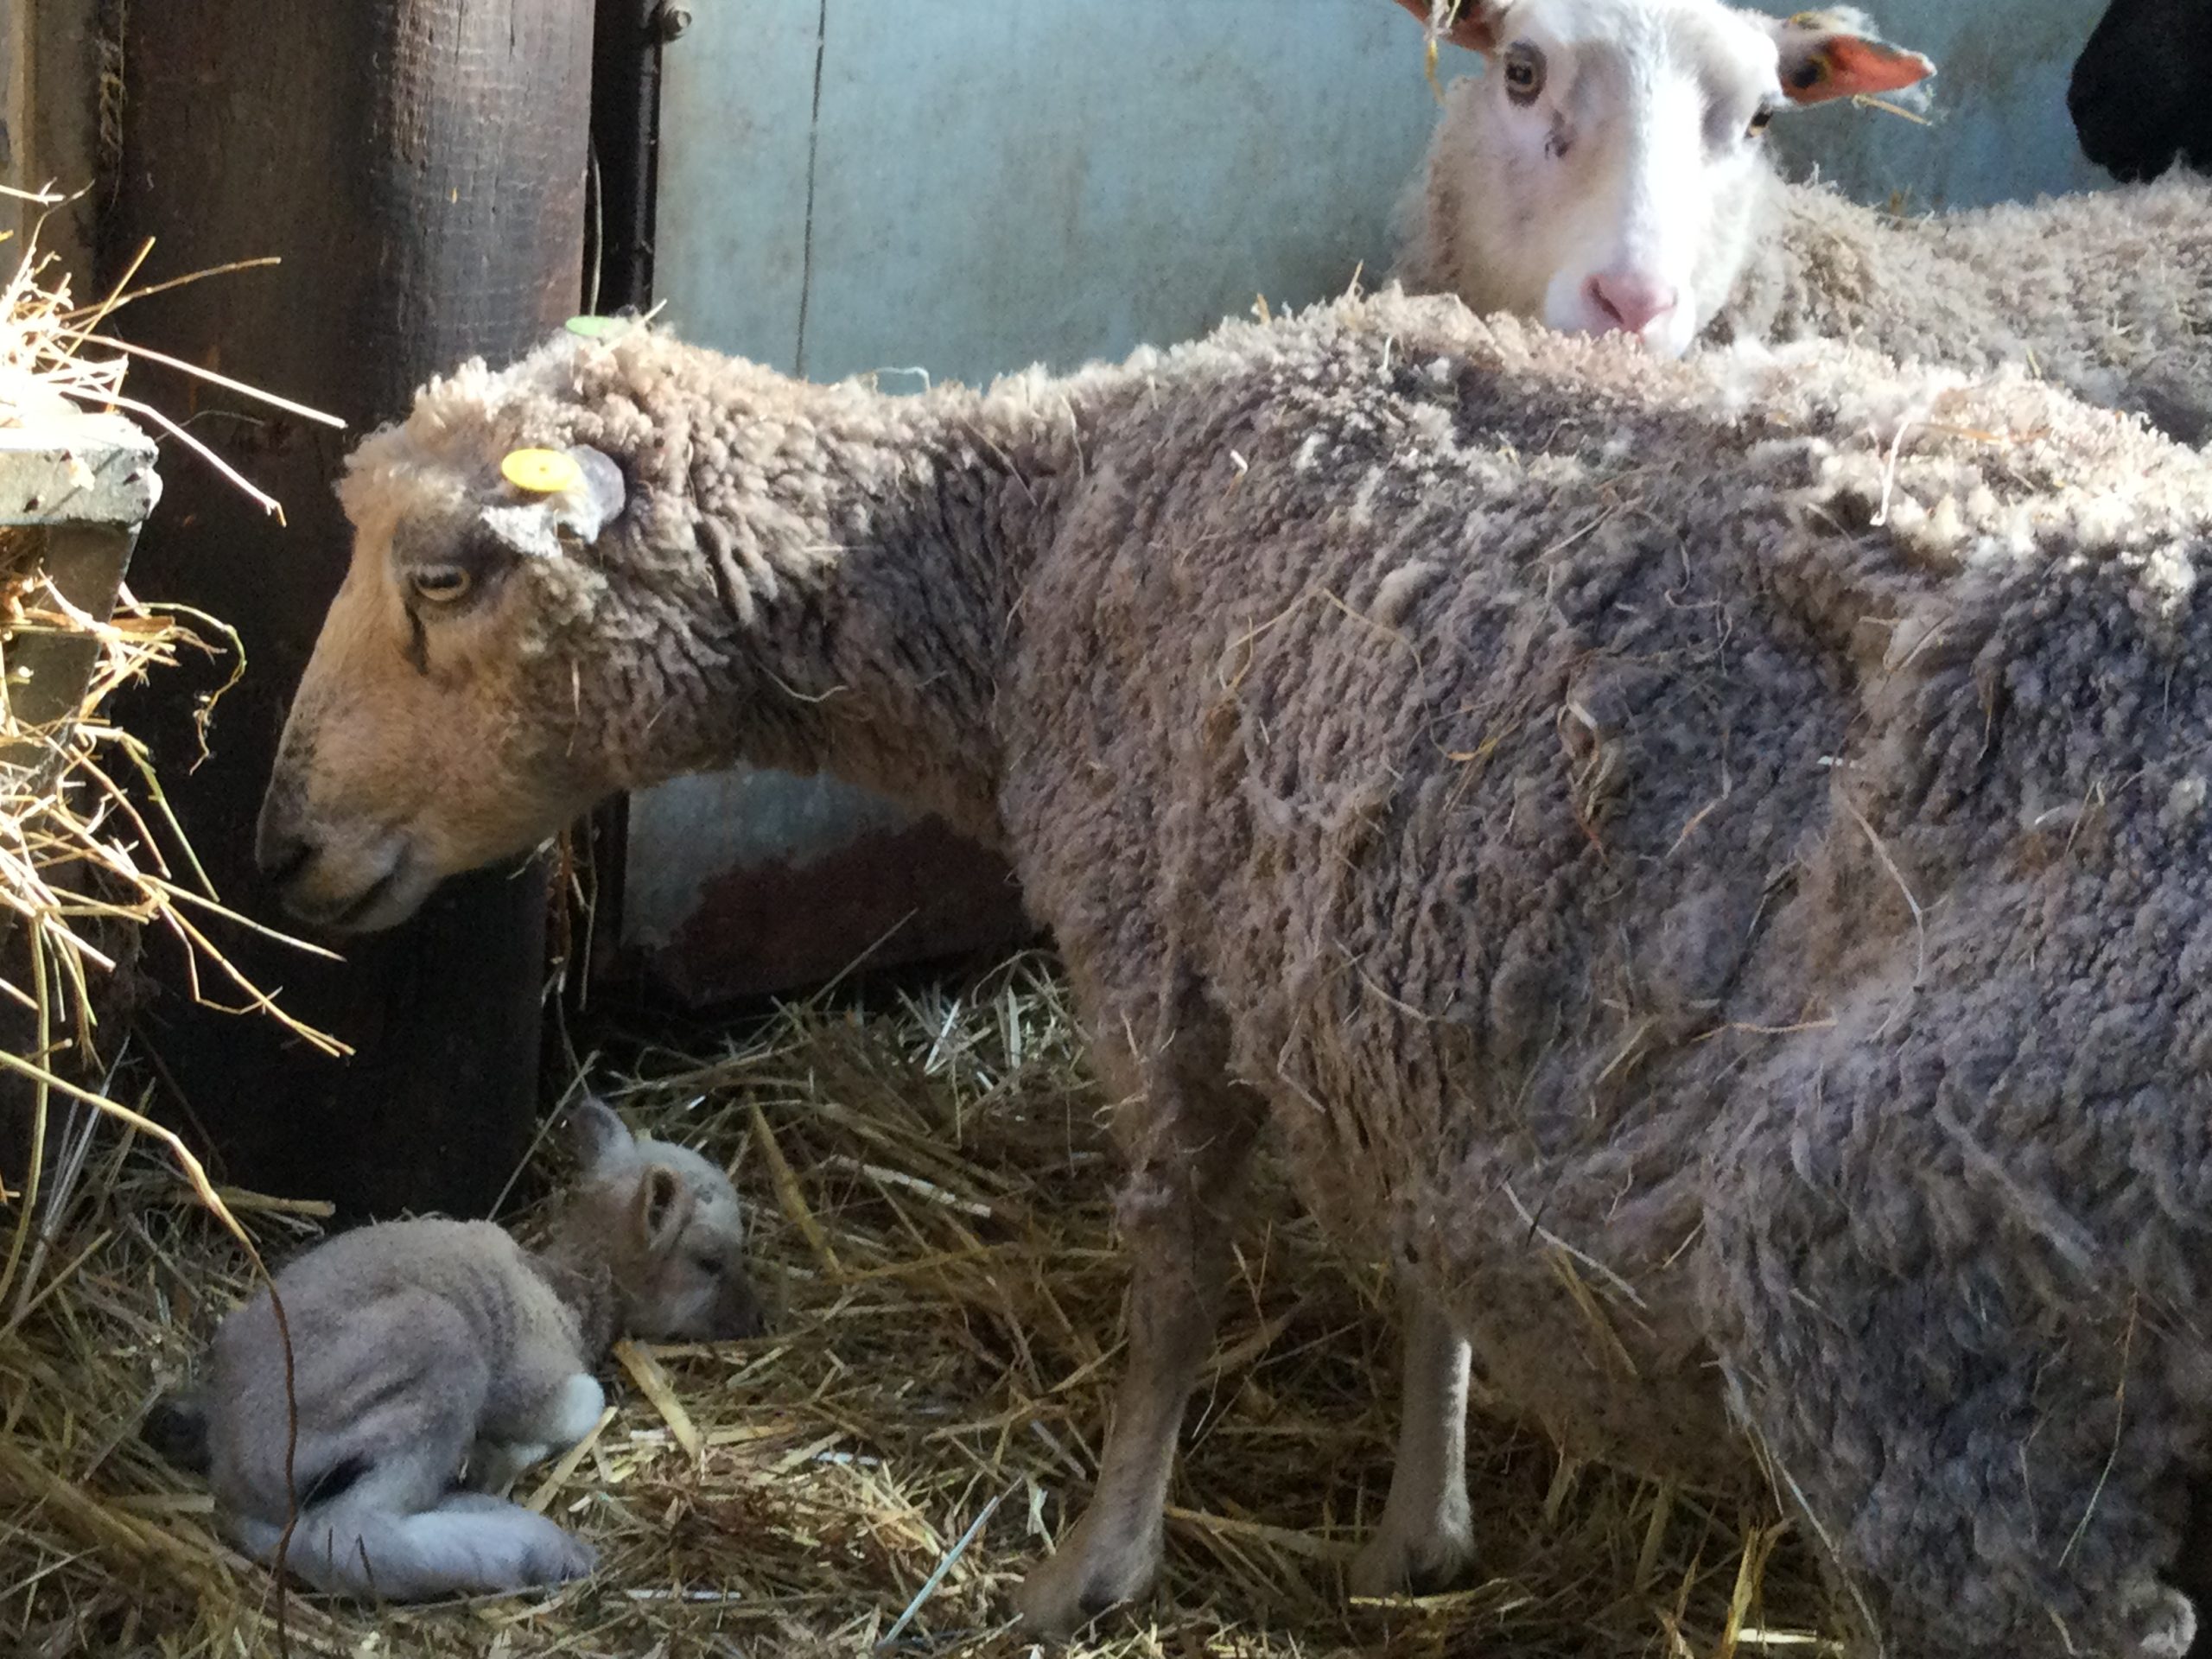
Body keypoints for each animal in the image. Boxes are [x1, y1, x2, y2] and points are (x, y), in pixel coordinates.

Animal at [151, 1099, 763, 1599]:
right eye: (710, 1261)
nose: (760, 1317)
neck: (566, 1287)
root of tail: (232, 1461)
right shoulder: (536, 1382)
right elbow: (585, 1404)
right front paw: (501, 1459)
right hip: (432, 1357)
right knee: (347, 1536)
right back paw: (536, 1548)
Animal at [254, 295, 2212, 1655]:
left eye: (448, 576)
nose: (275, 848)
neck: (1032, 557)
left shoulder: (1157, 946)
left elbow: (1179, 1276)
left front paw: (1095, 1566)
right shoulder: (1381, 986)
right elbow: (1425, 1271)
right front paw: (1421, 1533)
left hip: (1924, 1348)